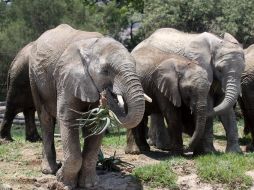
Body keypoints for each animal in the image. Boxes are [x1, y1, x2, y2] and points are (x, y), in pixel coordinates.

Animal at [15, 24, 147, 189]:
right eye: (106, 71)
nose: (106, 95)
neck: (91, 46)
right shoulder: (66, 78)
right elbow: (68, 119)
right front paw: (63, 181)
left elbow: (96, 126)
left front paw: (89, 184)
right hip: (34, 78)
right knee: (46, 120)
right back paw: (49, 170)